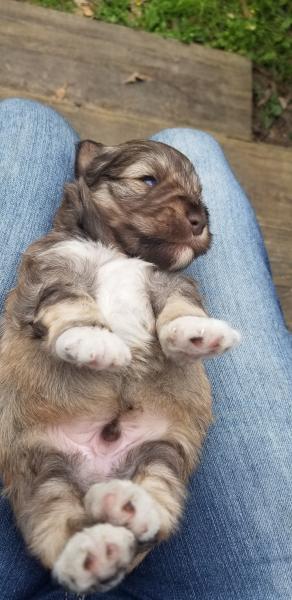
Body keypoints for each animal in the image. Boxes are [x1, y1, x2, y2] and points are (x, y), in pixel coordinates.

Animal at [0, 141, 240, 596]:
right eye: (148, 179)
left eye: (198, 192)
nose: (200, 218)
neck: (121, 253)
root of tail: (99, 475)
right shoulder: (55, 269)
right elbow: (72, 301)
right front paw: (93, 338)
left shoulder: (170, 283)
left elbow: (181, 306)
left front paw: (195, 332)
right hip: (41, 466)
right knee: (54, 518)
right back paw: (92, 549)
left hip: (161, 451)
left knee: (158, 504)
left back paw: (127, 506)